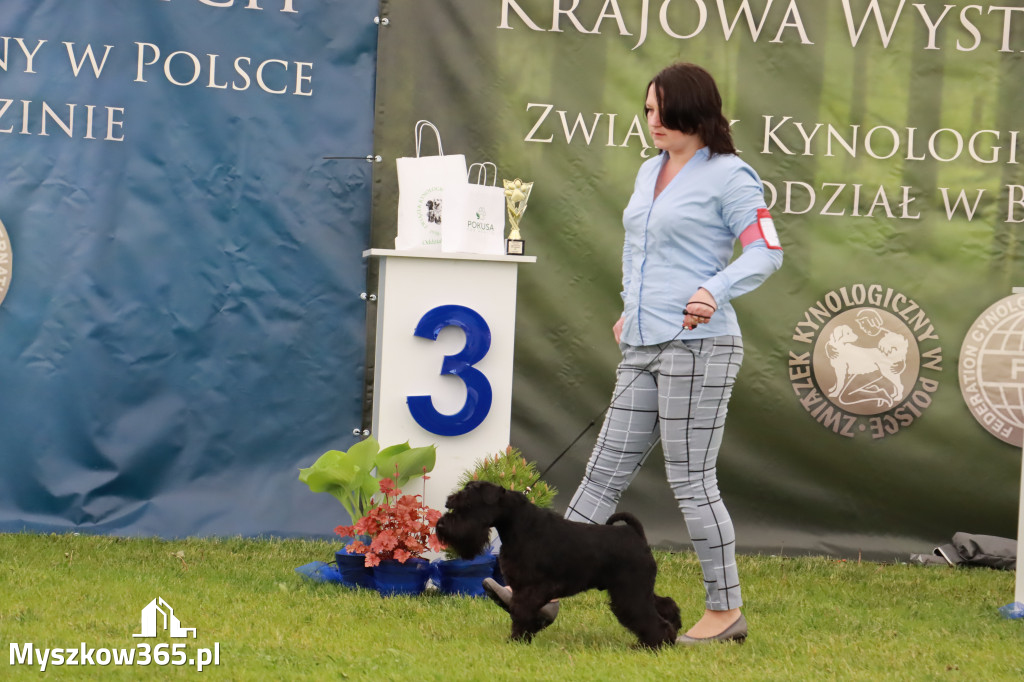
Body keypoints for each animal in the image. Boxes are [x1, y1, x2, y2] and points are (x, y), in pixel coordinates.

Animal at [434, 477, 679, 647]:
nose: (441, 525)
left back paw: (654, 644)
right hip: (636, 589)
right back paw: (670, 632)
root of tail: (636, 535)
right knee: (665, 603)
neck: (519, 524)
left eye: (466, 506)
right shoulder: (525, 588)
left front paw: (517, 640)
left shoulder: (530, 589)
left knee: (649, 617)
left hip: (630, 592)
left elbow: (520, 612)